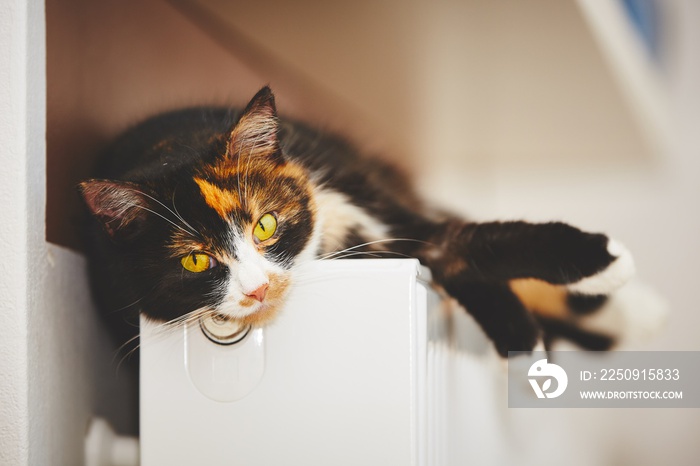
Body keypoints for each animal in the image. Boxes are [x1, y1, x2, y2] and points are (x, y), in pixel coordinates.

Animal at [79, 86, 636, 356]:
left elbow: (465, 242)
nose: (258, 289)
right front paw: (522, 341)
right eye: (196, 261)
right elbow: (453, 257)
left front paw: (602, 262)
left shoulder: (359, 190)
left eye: (265, 225)